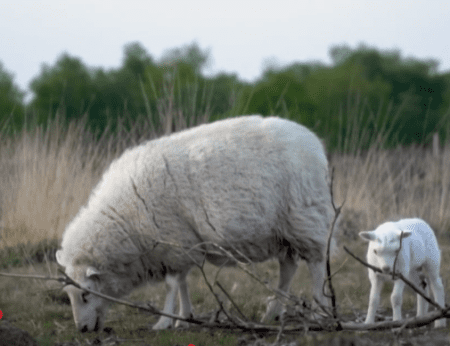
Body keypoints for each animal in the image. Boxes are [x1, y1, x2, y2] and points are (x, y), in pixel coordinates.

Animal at [55, 115, 334, 332]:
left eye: (85, 293)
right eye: (68, 295)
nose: (81, 330)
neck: (125, 215)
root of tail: (315, 144)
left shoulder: (172, 240)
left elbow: (171, 284)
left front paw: (165, 321)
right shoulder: (181, 244)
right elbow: (182, 283)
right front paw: (184, 317)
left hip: (305, 216)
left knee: (317, 264)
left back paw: (320, 311)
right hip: (282, 231)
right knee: (288, 268)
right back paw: (273, 312)